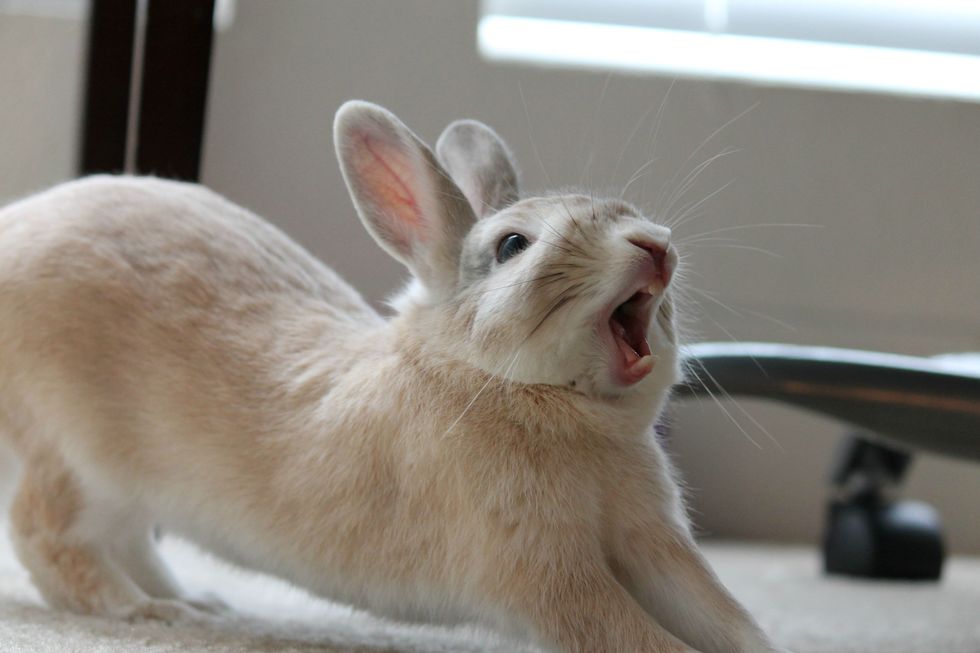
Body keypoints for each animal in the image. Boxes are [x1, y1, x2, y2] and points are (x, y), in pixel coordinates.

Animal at [0, 100, 779, 653]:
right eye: (513, 246)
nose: (654, 244)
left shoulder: (652, 542)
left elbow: (719, 612)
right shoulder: (546, 570)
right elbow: (629, 632)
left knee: (124, 539)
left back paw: (195, 600)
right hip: (73, 455)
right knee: (47, 535)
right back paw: (146, 610)